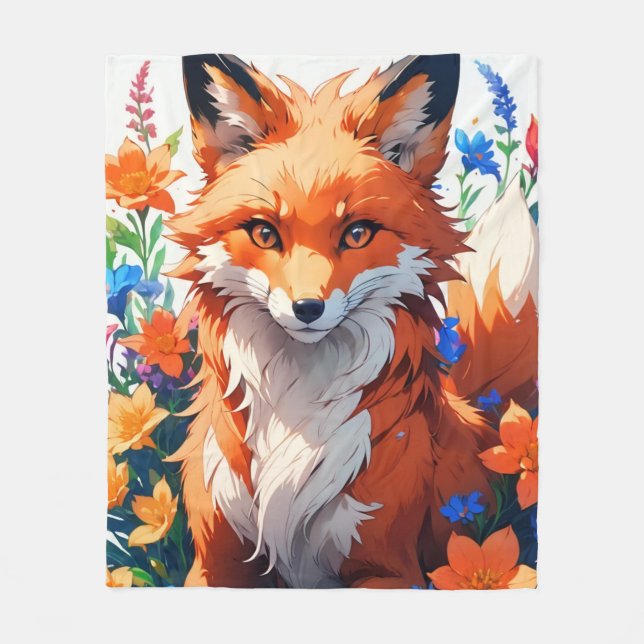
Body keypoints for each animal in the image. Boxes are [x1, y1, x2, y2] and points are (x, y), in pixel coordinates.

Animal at [166, 54, 538, 588]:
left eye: (357, 233)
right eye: (264, 233)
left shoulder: (387, 567)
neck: (295, 413)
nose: (307, 308)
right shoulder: (217, 566)